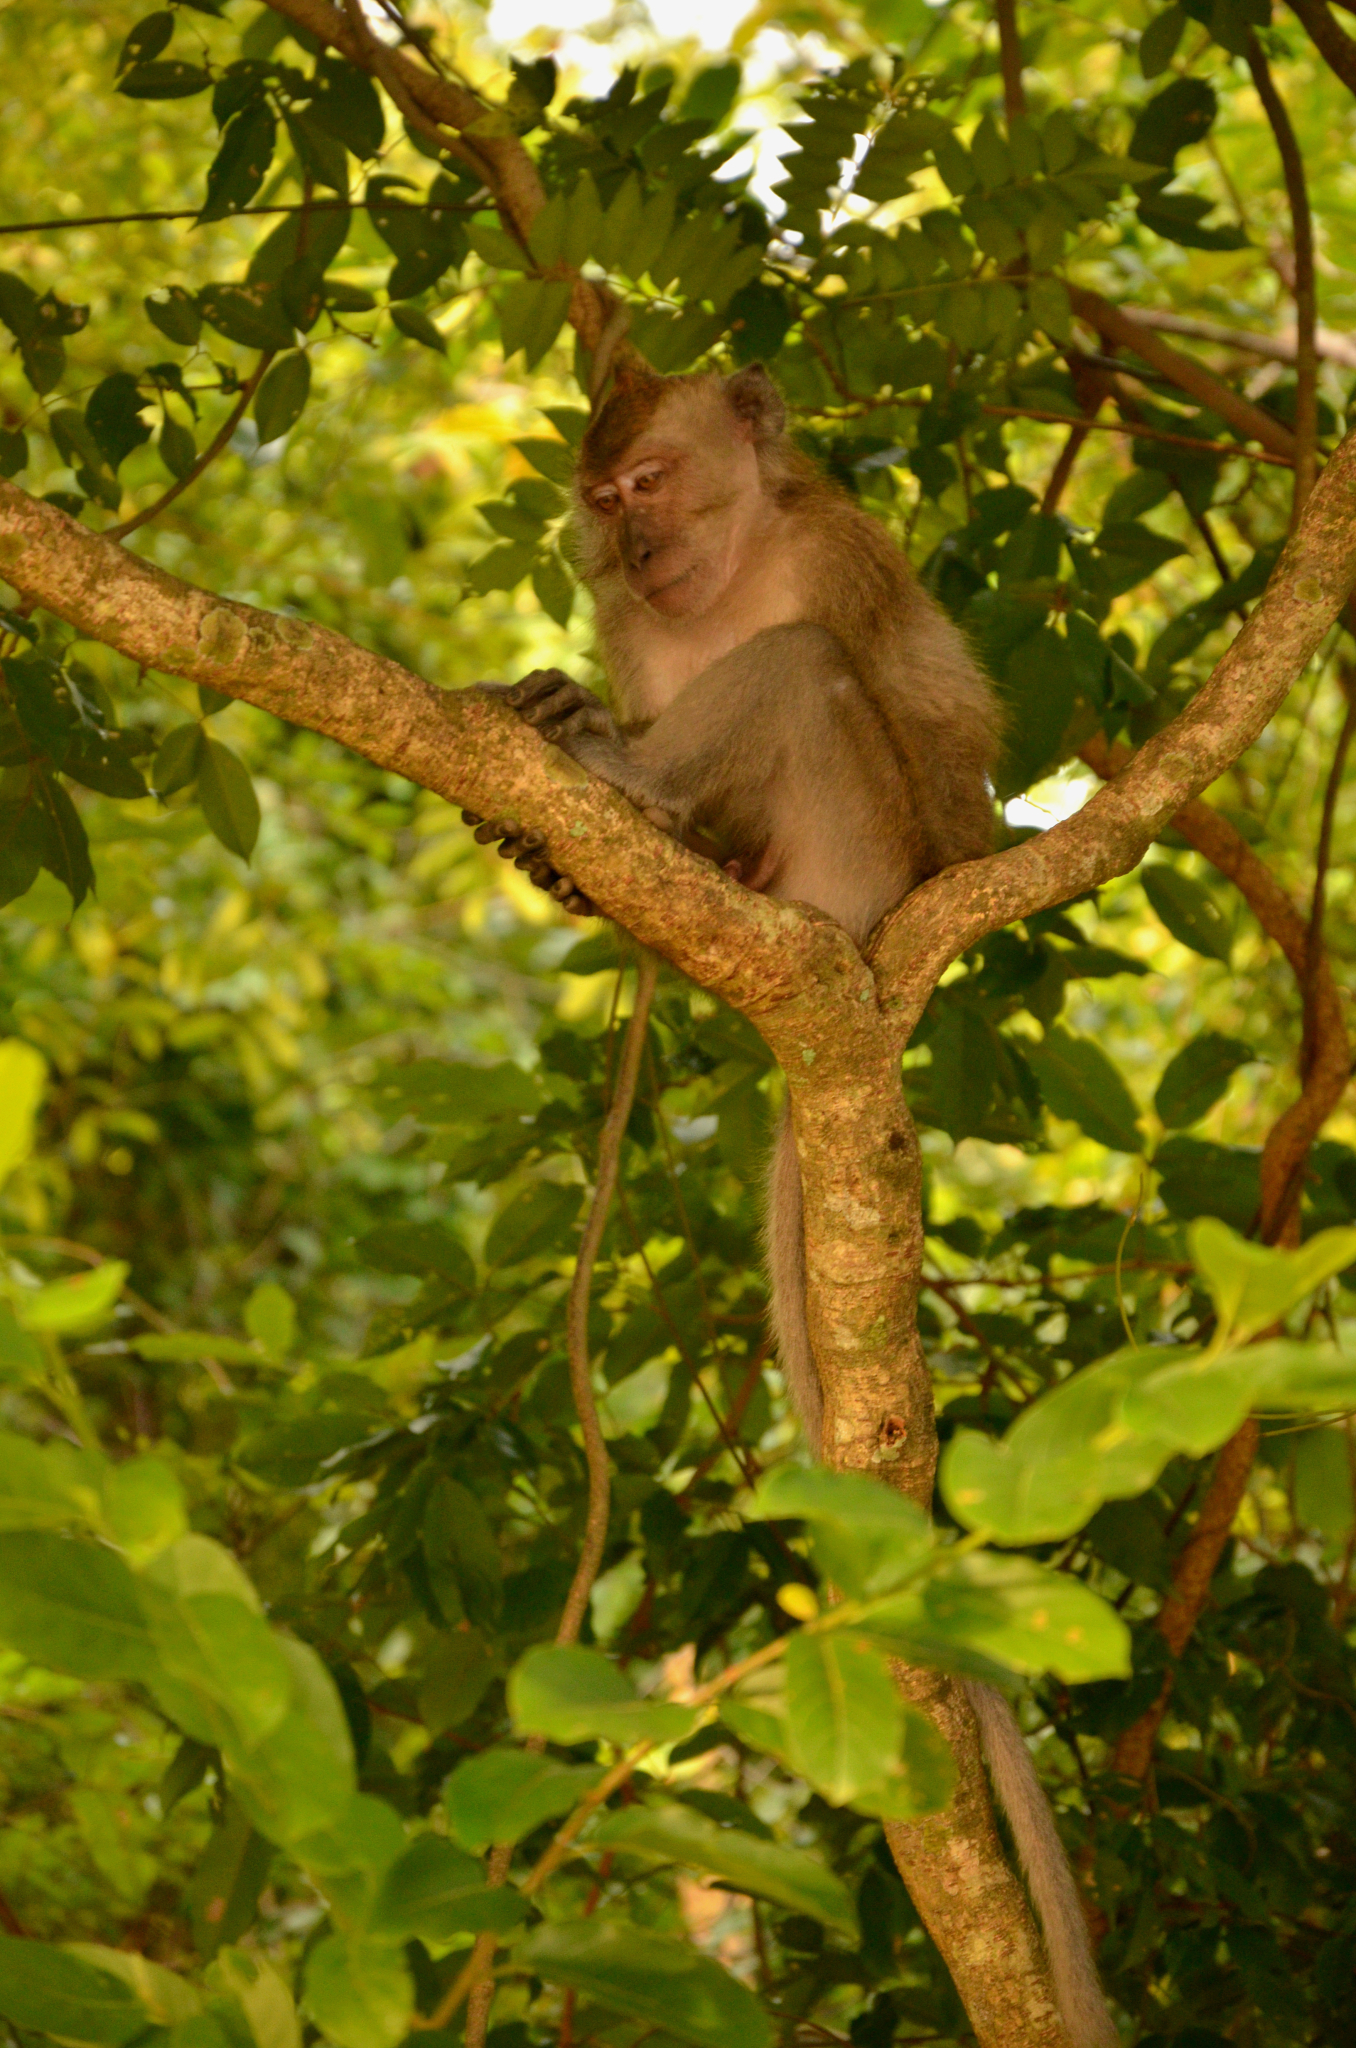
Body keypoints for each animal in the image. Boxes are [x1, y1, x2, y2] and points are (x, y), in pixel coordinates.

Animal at [467, 360, 1114, 2039]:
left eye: (649, 482)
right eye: (603, 502)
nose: (632, 552)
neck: (736, 559)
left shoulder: (846, 560)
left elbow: (916, 703)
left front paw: (621, 752)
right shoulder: (636, 628)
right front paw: (578, 749)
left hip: (849, 852)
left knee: (811, 679)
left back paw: (635, 783)